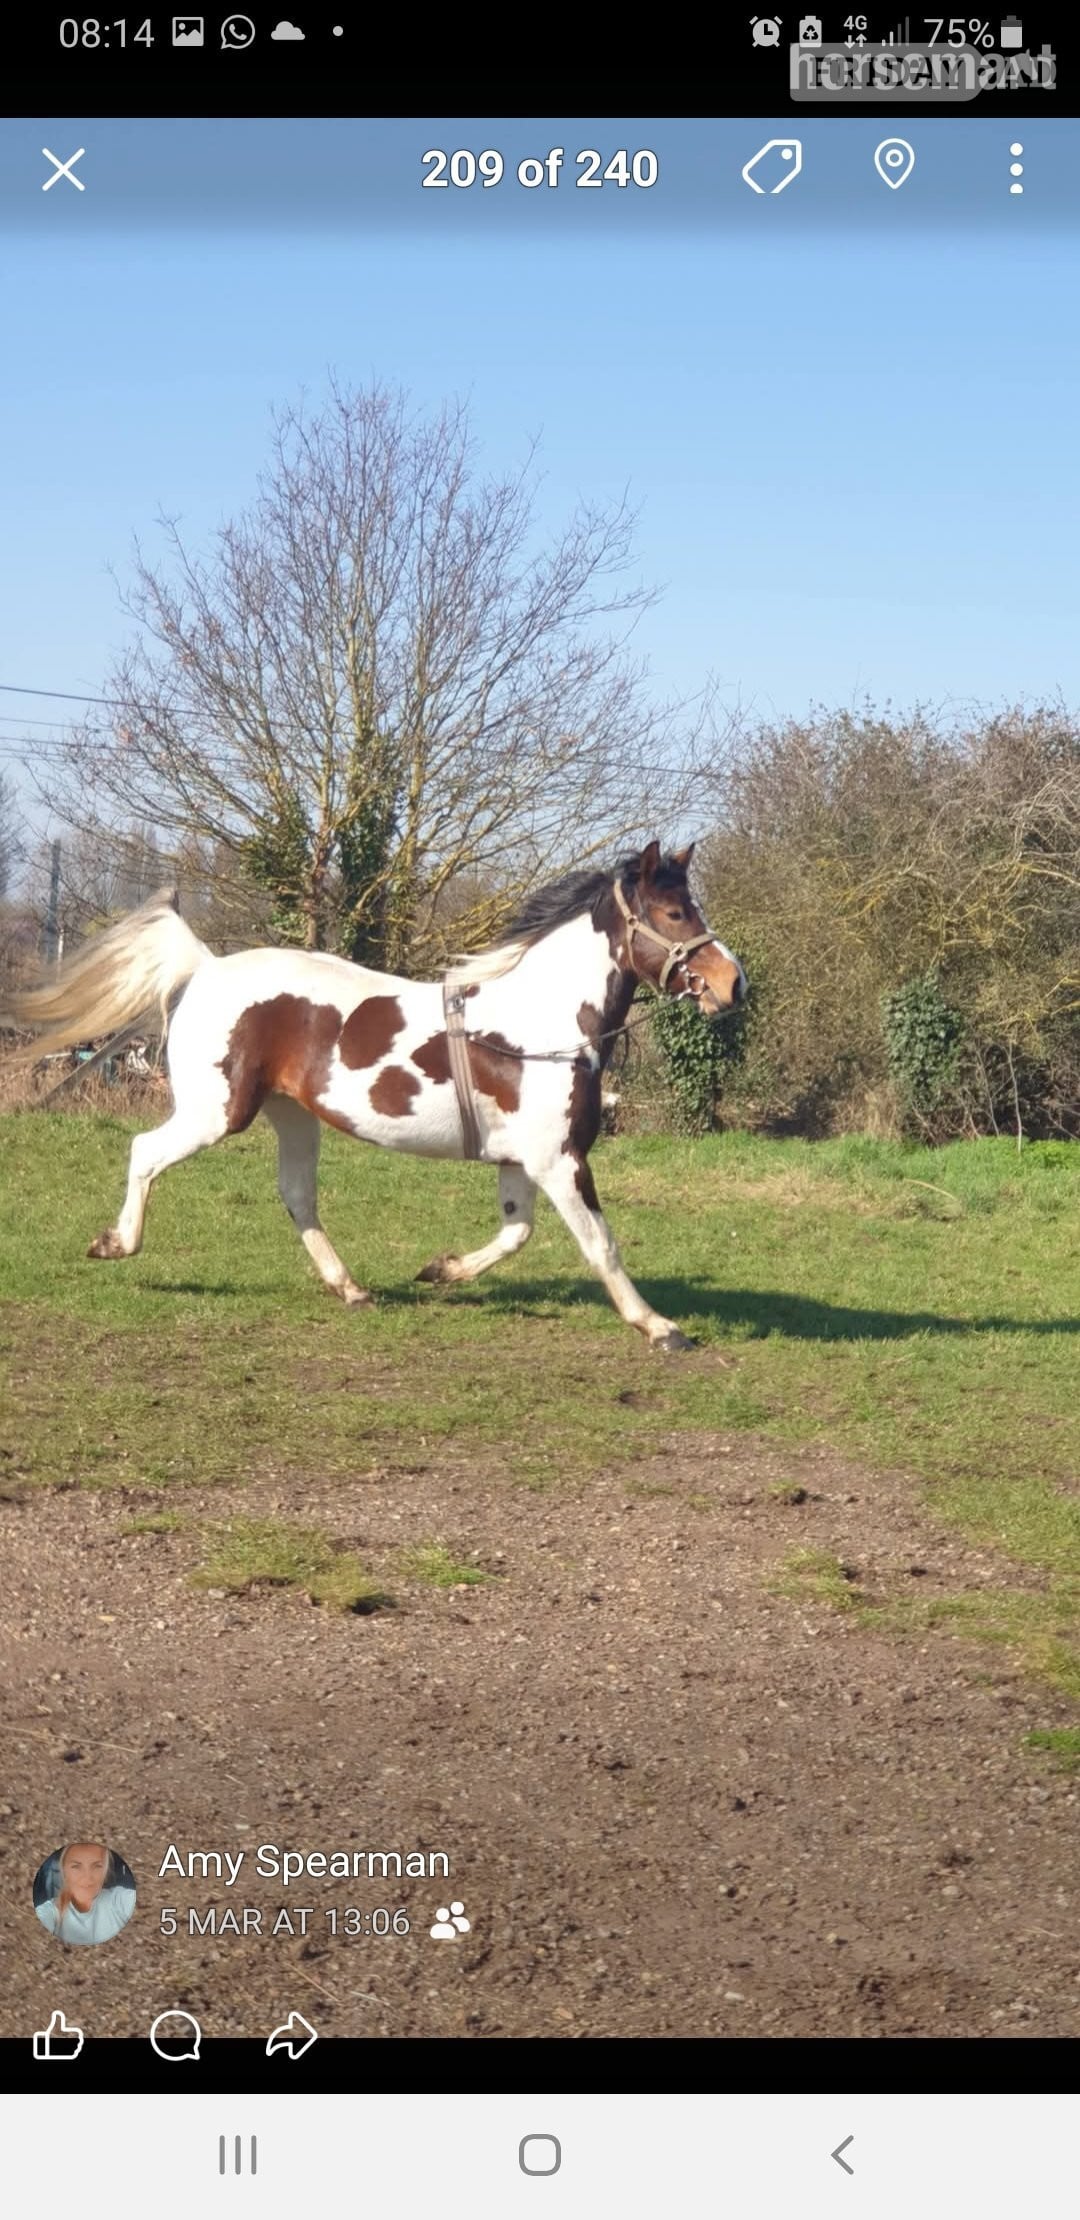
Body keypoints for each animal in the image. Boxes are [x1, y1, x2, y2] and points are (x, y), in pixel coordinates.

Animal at [10, 841, 746, 1351]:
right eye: (674, 912)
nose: (731, 983)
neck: (541, 1026)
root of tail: (206, 966)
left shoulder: (522, 1161)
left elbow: (516, 1233)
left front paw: (440, 1270)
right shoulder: (560, 1162)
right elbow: (601, 1245)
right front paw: (660, 1327)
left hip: (292, 1117)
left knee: (298, 1196)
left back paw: (352, 1289)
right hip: (215, 1113)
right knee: (146, 1151)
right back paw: (114, 1244)